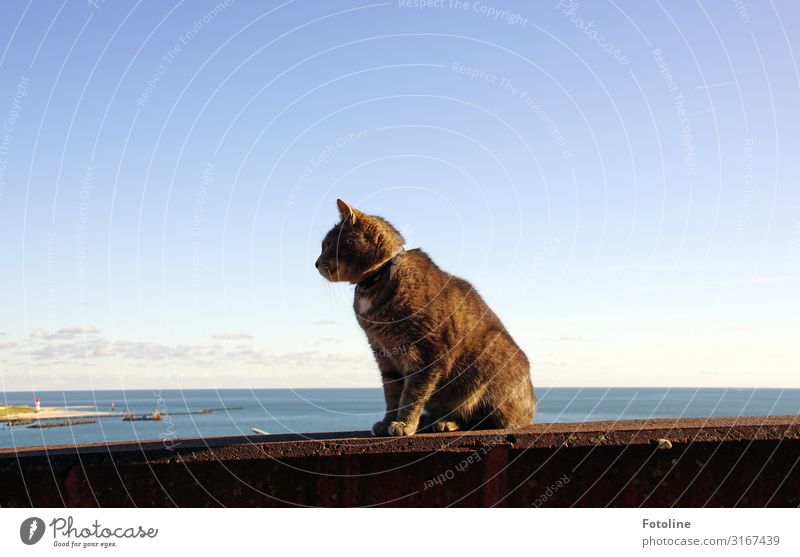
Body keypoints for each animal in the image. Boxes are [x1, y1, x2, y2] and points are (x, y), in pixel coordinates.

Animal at [316, 199, 536, 434]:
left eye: (328, 244)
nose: (316, 262)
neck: (378, 278)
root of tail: (531, 408)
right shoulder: (383, 352)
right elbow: (392, 394)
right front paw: (387, 421)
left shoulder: (427, 351)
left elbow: (413, 393)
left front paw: (404, 423)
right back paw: (432, 420)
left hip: (488, 367)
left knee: (484, 419)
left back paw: (444, 422)